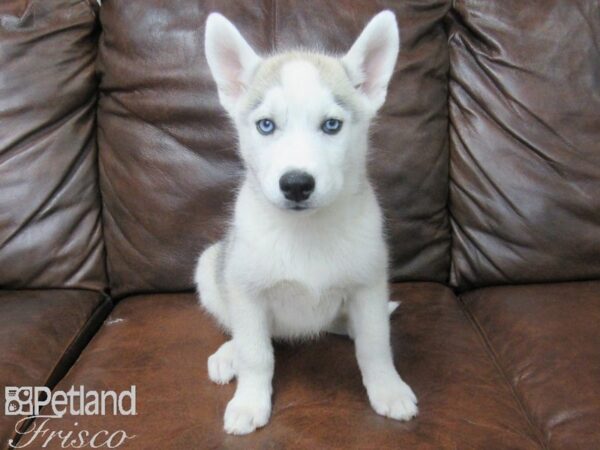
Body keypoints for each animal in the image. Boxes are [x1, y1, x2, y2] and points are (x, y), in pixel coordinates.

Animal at [197, 11, 418, 436]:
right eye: (266, 125)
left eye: (331, 125)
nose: (297, 184)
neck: (306, 231)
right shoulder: (246, 291)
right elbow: (257, 354)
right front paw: (249, 401)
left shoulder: (369, 284)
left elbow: (375, 346)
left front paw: (388, 389)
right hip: (210, 265)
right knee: (244, 332)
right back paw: (228, 354)